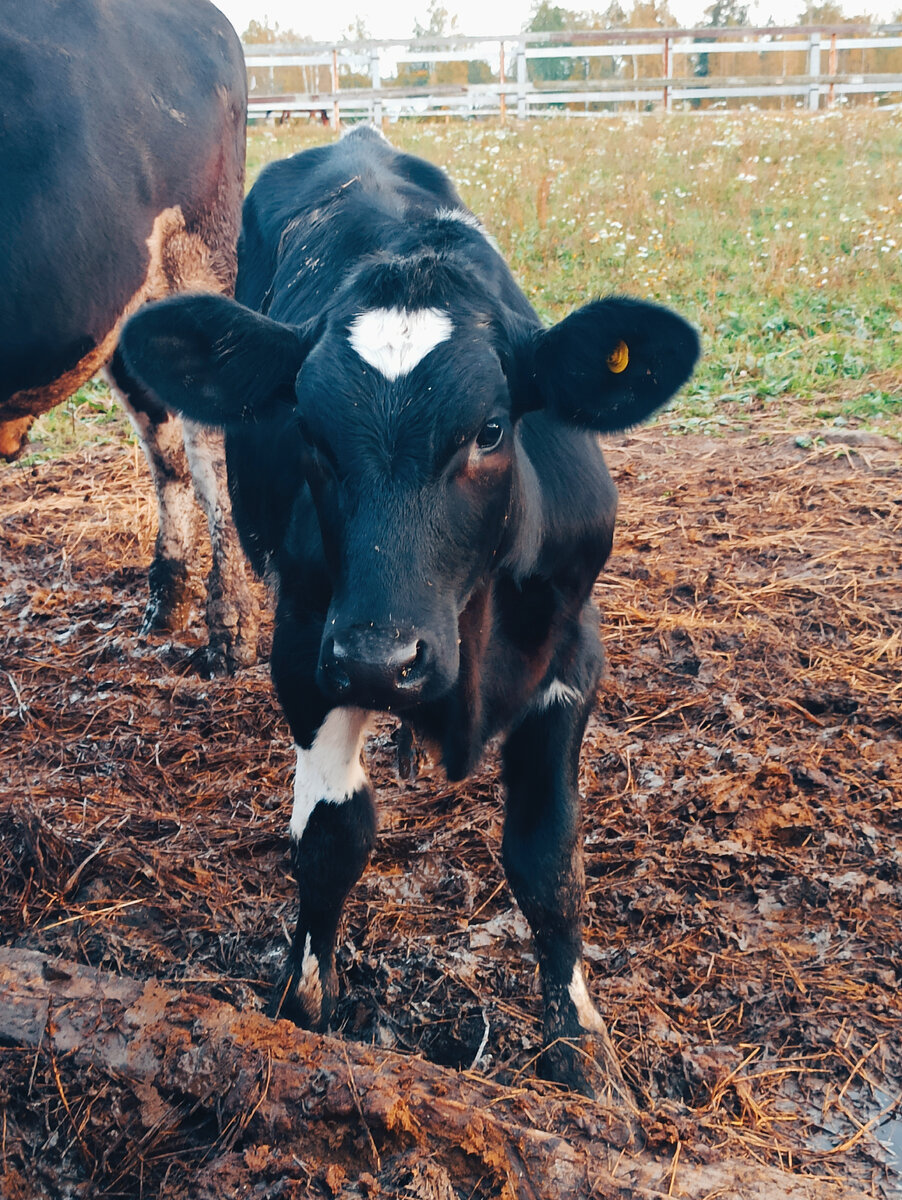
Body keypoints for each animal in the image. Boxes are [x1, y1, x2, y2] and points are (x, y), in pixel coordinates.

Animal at [118, 126, 695, 1099]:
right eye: (308, 431)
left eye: (491, 429)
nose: (383, 662)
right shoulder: (309, 648)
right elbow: (333, 835)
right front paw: (303, 1002)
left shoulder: (572, 653)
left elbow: (548, 854)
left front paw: (580, 1043)